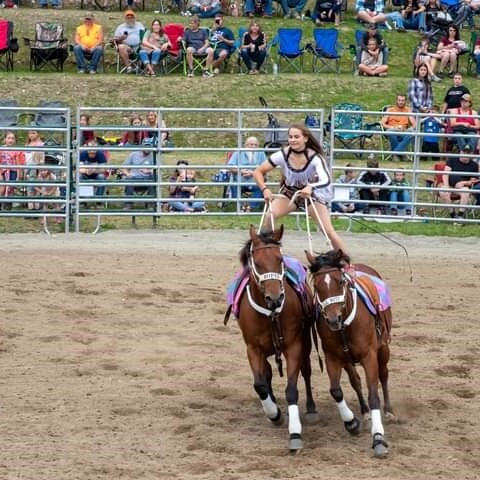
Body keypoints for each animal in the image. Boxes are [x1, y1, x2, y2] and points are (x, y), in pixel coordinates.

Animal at [226, 224, 318, 450]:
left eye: (280, 259)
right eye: (257, 263)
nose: (275, 298)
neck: (271, 314)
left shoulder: (294, 346)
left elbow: (292, 389)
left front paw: (295, 431)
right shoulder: (253, 348)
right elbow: (259, 384)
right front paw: (274, 413)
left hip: (306, 342)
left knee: (306, 371)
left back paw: (311, 408)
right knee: (266, 374)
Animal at [306, 249, 392, 460]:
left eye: (340, 281)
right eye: (317, 286)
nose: (333, 319)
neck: (345, 326)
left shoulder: (369, 357)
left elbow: (374, 395)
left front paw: (378, 438)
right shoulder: (333, 358)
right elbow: (336, 390)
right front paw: (351, 422)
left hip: (383, 349)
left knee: (384, 375)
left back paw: (388, 411)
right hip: (347, 360)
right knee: (355, 381)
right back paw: (365, 412)